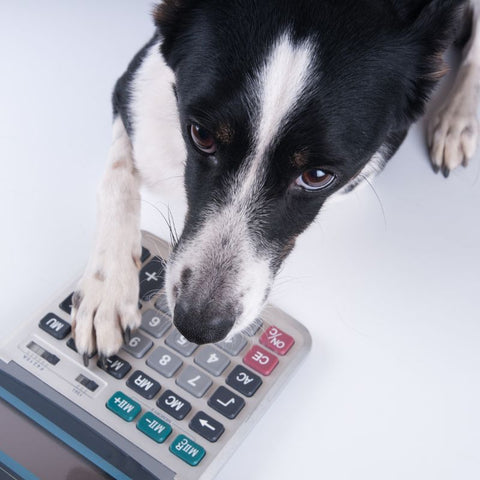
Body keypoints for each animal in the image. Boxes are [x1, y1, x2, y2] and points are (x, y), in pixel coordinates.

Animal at [71, 0, 480, 364]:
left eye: (317, 176)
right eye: (201, 134)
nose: (196, 327)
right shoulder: (135, 89)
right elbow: (118, 178)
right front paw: (107, 291)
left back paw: (458, 118)